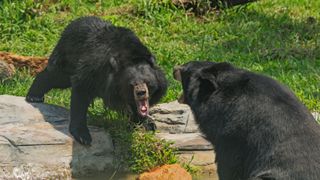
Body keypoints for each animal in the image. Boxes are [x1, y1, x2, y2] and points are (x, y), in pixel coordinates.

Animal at [26, 16, 168, 146]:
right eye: (132, 84)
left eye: (148, 83)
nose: (141, 93)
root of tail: (72, 23)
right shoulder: (95, 68)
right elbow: (81, 91)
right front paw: (83, 136)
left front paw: (148, 123)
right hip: (67, 57)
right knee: (55, 76)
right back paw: (34, 96)